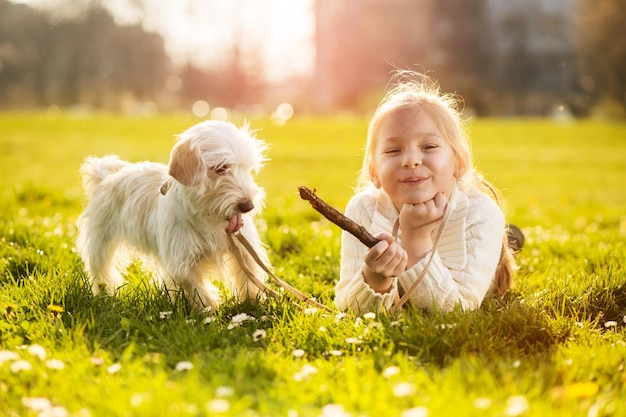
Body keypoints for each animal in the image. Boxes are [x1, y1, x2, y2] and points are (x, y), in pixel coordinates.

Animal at [75, 118, 268, 308]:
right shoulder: (182, 262)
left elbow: (249, 277)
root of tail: (106, 177)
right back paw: (104, 295)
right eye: (221, 168)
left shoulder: (244, 250)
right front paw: (211, 309)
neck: (208, 217)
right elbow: (198, 289)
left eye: (247, 168)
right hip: (100, 244)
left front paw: (253, 304)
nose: (248, 206)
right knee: (100, 271)